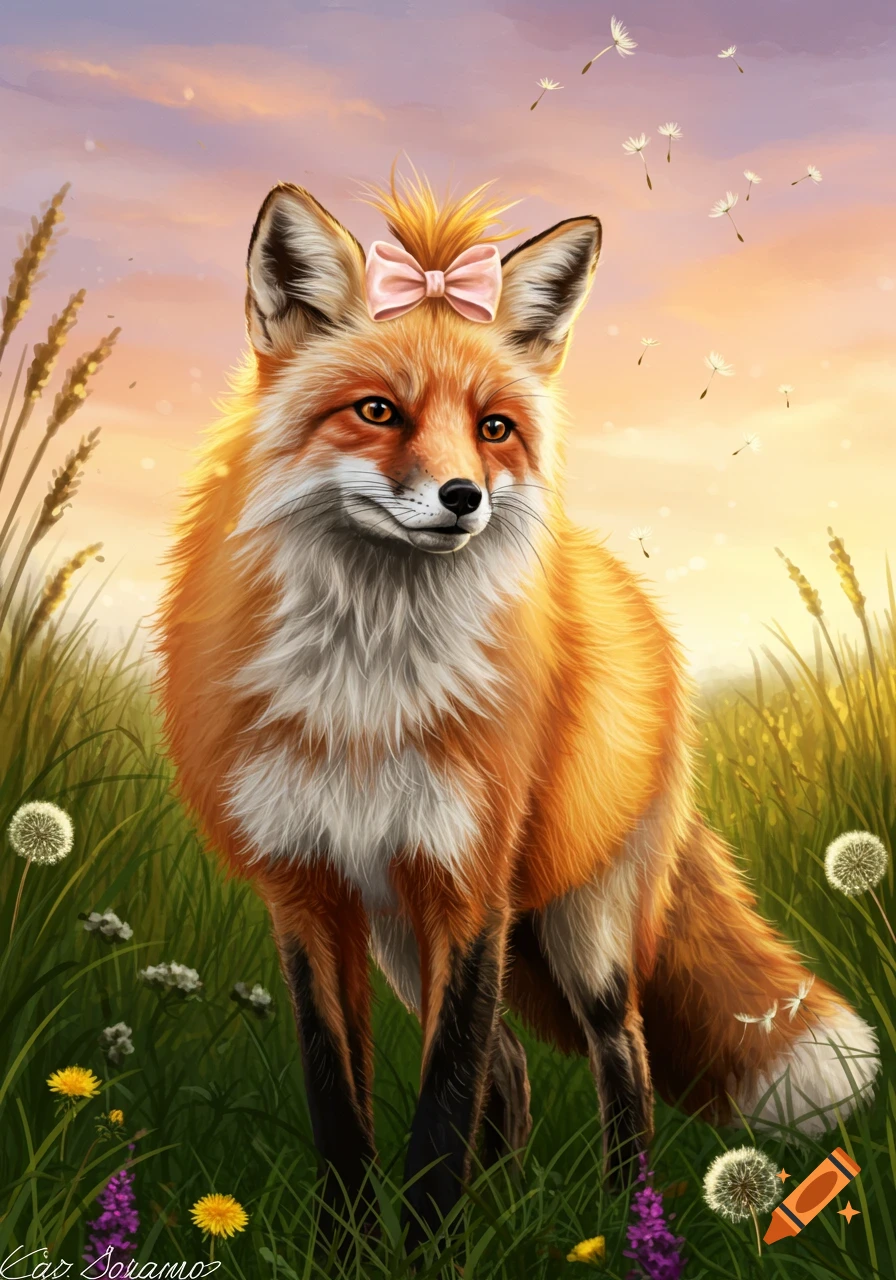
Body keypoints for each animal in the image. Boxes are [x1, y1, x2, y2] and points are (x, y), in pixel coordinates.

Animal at [156, 171, 879, 1248]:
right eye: (378, 410)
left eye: (493, 427)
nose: (464, 497)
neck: (369, 680)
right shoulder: (311, 891)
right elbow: (344, 1102)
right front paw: (351, 1247)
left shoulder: (470, 885)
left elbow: (443, 1101)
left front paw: (425, 1249)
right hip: (407, 938)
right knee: (513, 1066)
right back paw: (508, 1200)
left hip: (582, 931)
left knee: (622, 1053)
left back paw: (626, 1216)